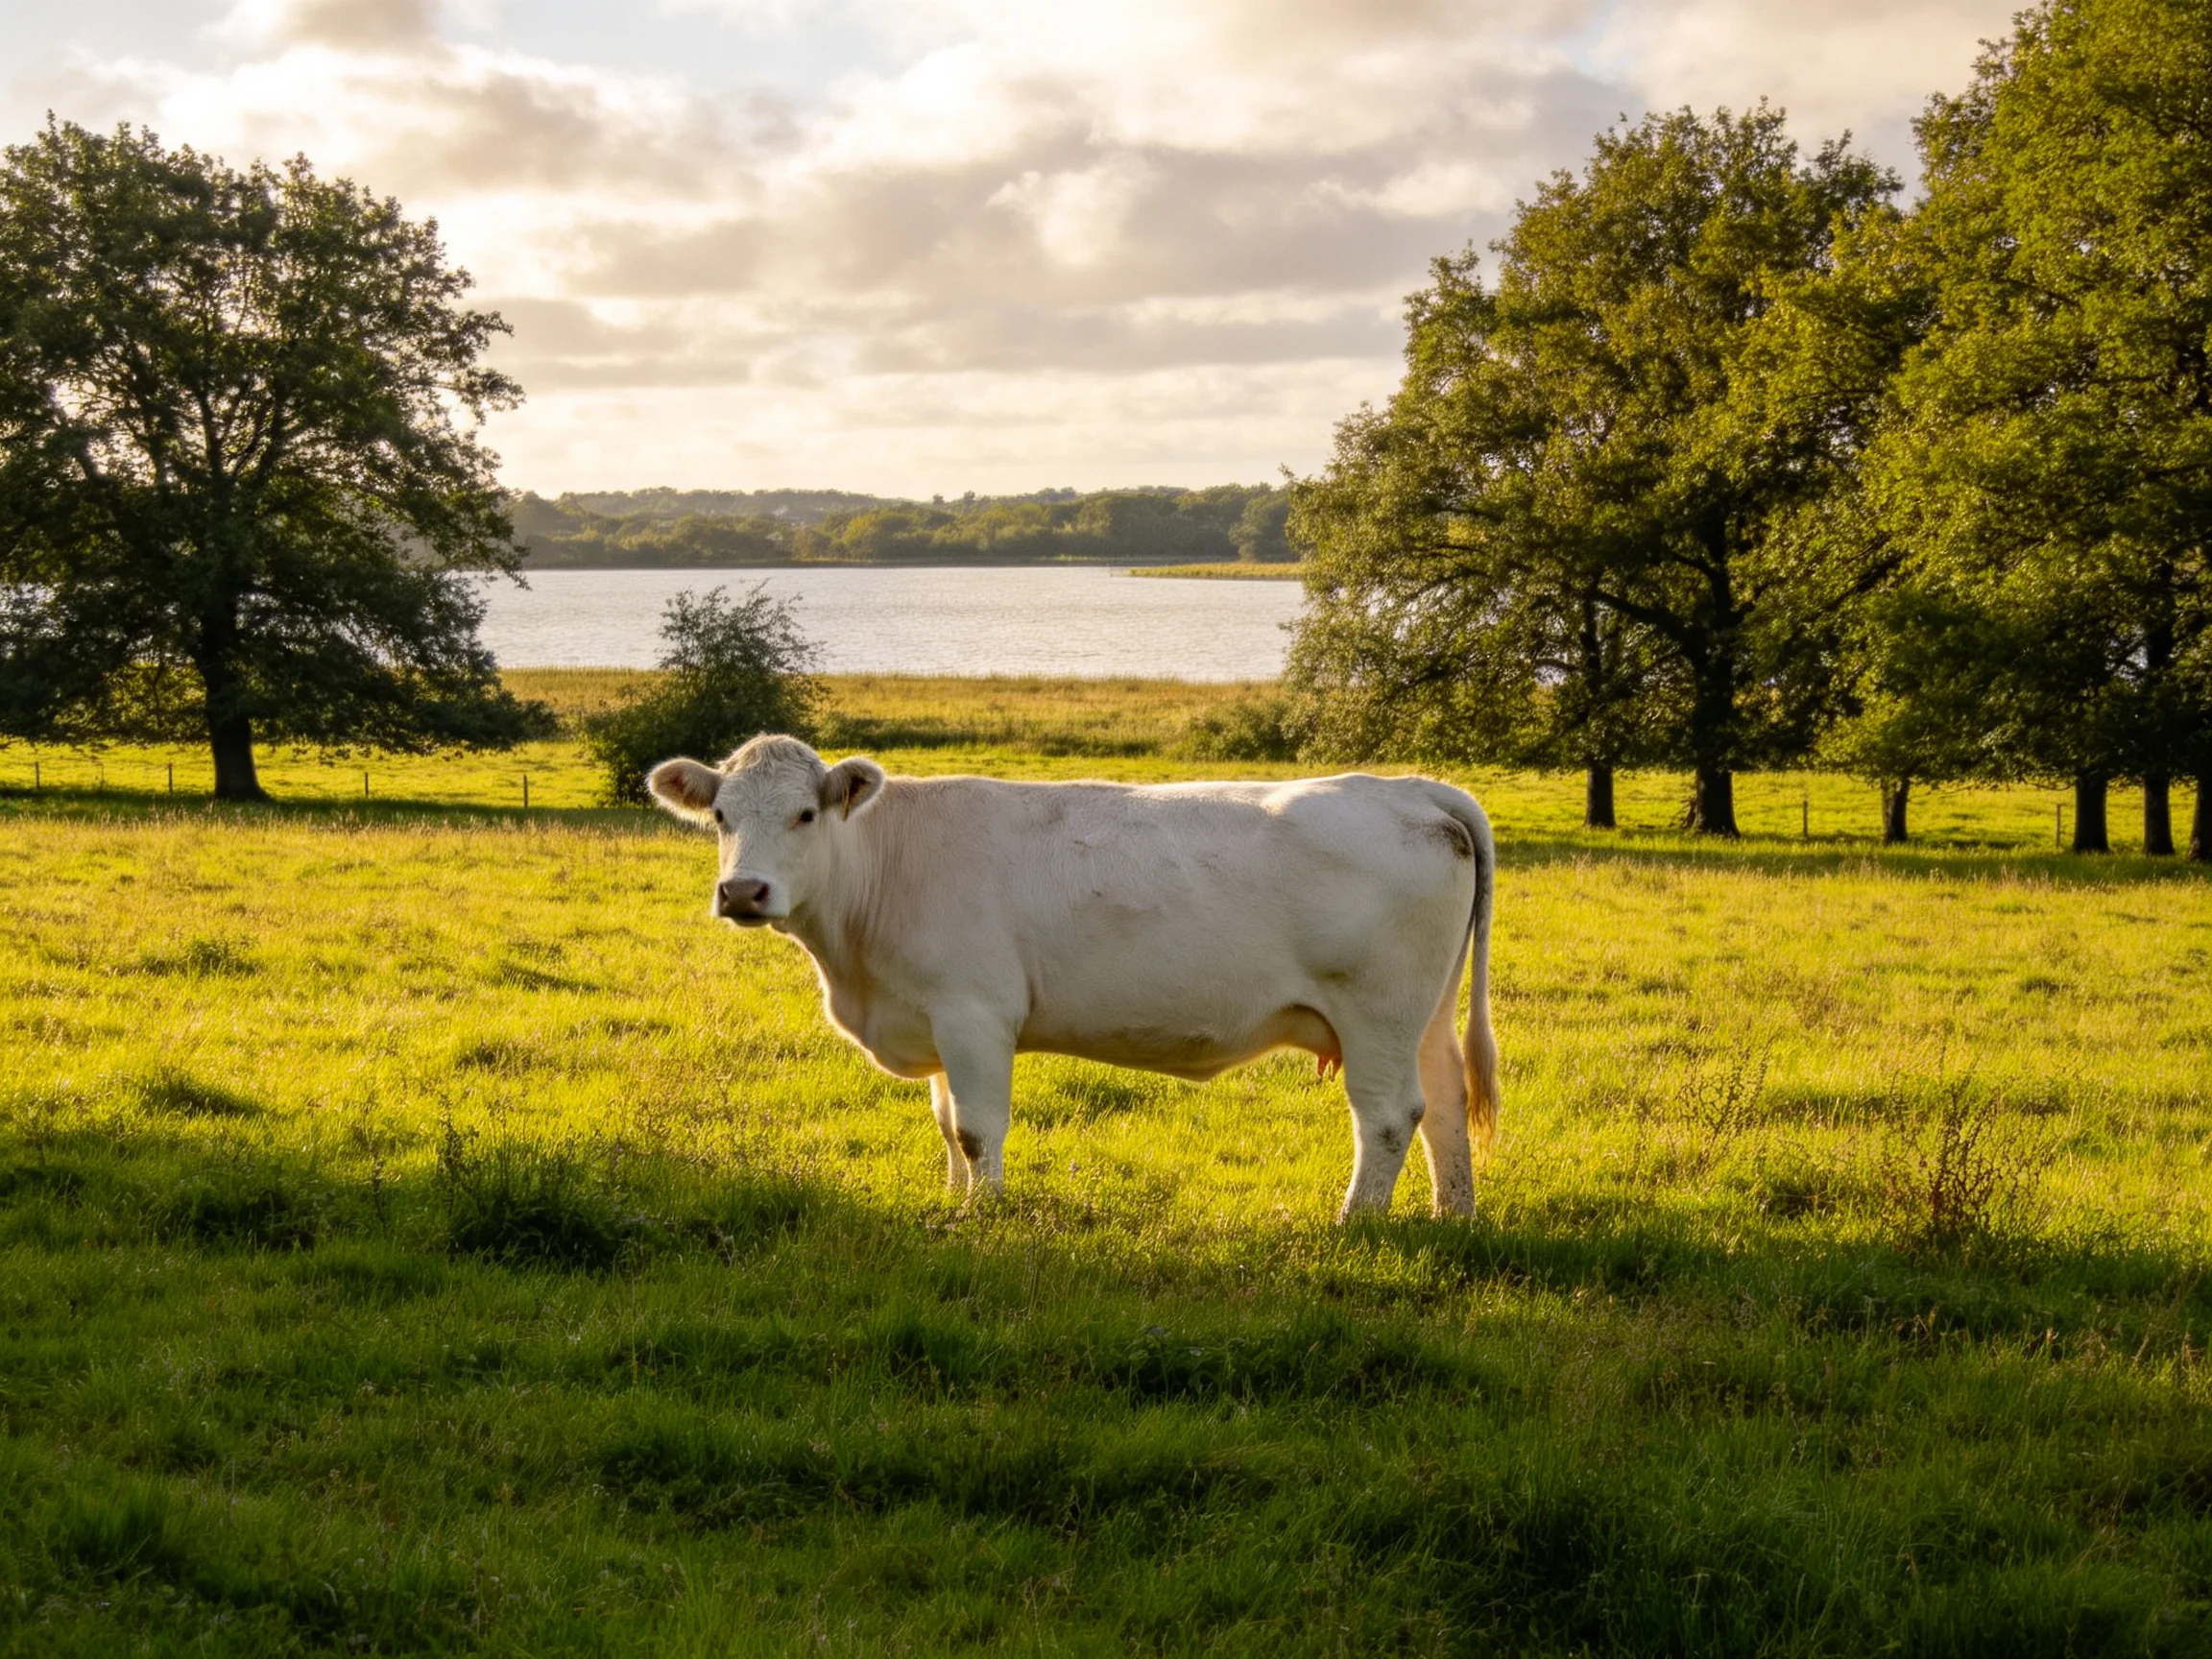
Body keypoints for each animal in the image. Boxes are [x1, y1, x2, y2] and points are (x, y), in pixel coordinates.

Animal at [648, 735, 1500, 1220]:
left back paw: (1355, 1222)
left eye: (804, 815)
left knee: (1387, 1117)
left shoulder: (973, 1013)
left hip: (1376, 1012)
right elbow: (945, 1125)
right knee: (1445, 1101)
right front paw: (953, 1202)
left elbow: (976, 1127)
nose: (743, 892)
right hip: (1424, 1014)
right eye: (721, 816)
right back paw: (1451, 1215)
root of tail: (1407, 787)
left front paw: (985, 1217)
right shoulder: (932, 1017)